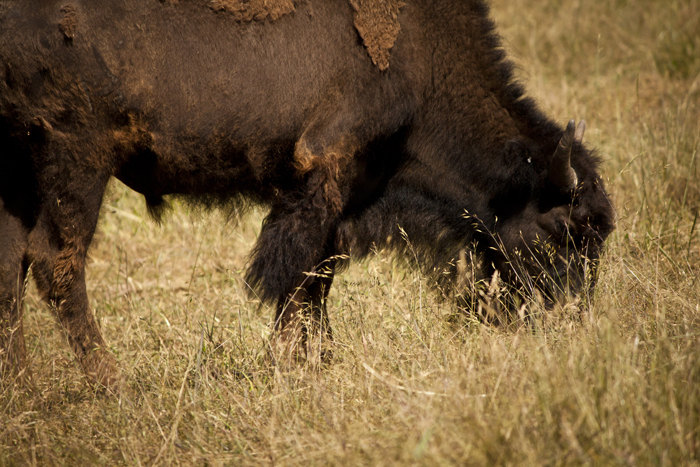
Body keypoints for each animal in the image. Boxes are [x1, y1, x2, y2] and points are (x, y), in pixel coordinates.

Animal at [0, 0, 612, 388]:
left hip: (17, 173)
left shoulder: (349, 198)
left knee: (11, 265)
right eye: (562, 231)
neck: (424, 58)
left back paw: (24, 390)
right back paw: (114, 386)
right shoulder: (324, 172)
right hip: (77, 160)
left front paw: (316, 360)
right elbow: (296, 274)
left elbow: (319, 275)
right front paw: (292, 364)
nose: (571, 321)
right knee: (55, 263)